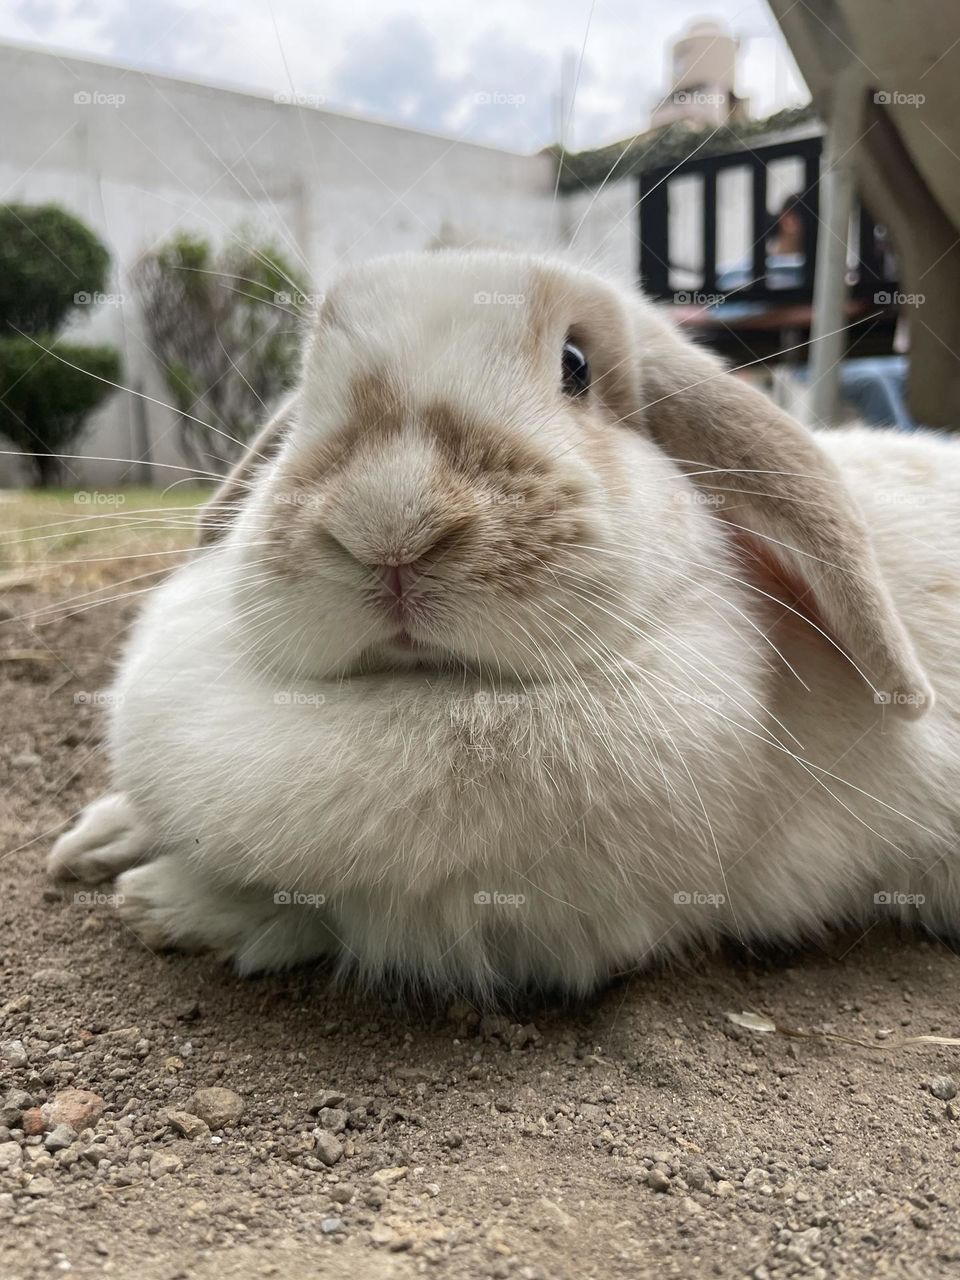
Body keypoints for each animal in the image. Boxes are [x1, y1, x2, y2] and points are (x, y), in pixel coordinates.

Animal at [47, 248, 960, 1003]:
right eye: (308, 387)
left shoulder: (530, 923)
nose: (389, 525)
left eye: (576, 366)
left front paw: (162, 901)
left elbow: (320, 913)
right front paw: (99, 838)